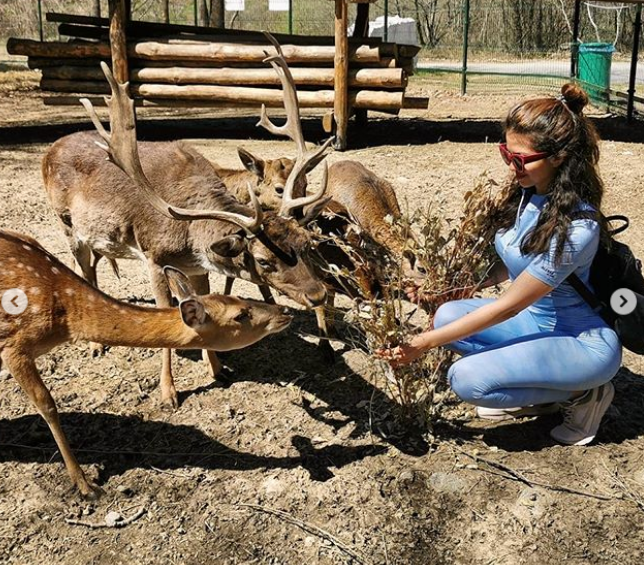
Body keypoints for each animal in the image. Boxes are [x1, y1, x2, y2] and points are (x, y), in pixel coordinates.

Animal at [0, 227, 292, 496]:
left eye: (239, 297)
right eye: (240, 315)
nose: (285, 311)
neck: (66, 317)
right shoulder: (14, 346)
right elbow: (47, 404)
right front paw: (86, 486)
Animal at [41, 55, 332, 408]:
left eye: (305, 243)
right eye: (263, 260)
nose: (318, 294)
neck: (189, 235)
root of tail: (50, 149)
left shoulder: (196, 266)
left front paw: (218, 369)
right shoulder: (152, 255)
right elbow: (166, 315)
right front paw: (168, 392)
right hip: (66, 224)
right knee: (83, 267)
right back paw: (96, 345)